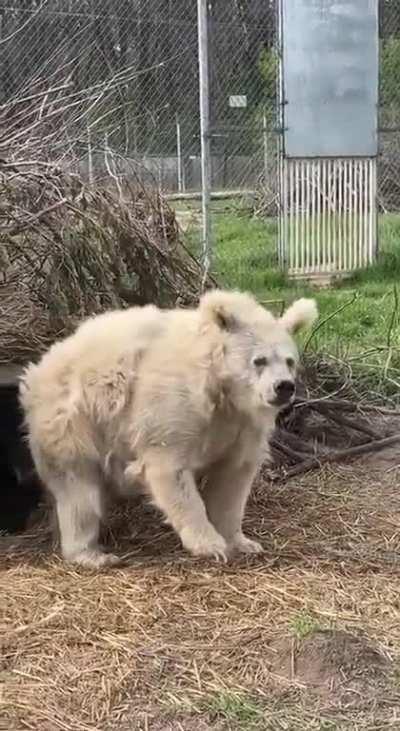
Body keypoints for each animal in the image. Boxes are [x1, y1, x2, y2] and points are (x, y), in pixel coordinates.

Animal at [19, 289, 318, 567]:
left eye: (289, 361)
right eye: (260, 360)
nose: (284, 387)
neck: (219, 387)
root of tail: (40, 367)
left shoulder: (241, 424)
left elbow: (233, 478)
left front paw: (243, 542)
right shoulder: (174, 404)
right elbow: (170, 468)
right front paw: (210, 545)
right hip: (74, 420)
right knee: (79, 490)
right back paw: (92, 554)